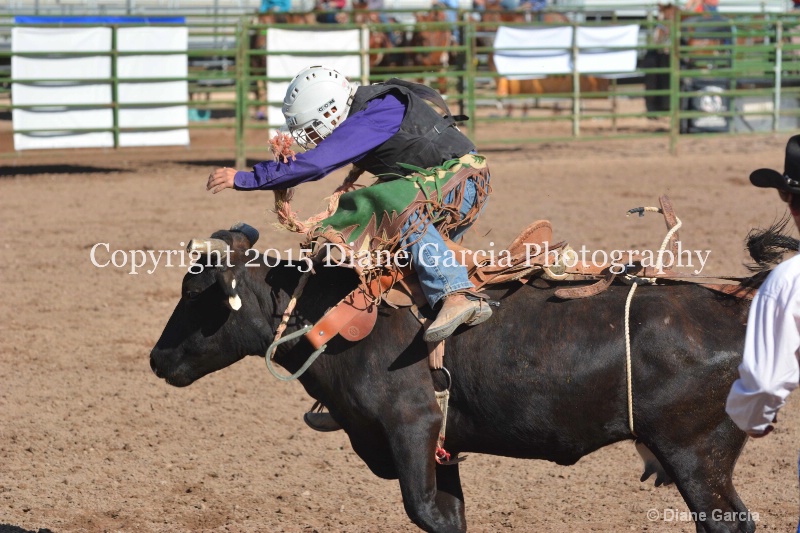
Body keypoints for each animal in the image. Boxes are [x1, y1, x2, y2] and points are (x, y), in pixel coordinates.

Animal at [153, 227, 760, 528]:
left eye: (193, 292)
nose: (157, 360)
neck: (338, 317)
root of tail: (737, 309)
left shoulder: (412, 426)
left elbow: (426, 512)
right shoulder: (442, 447)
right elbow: (451, 513)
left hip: (696, 453)